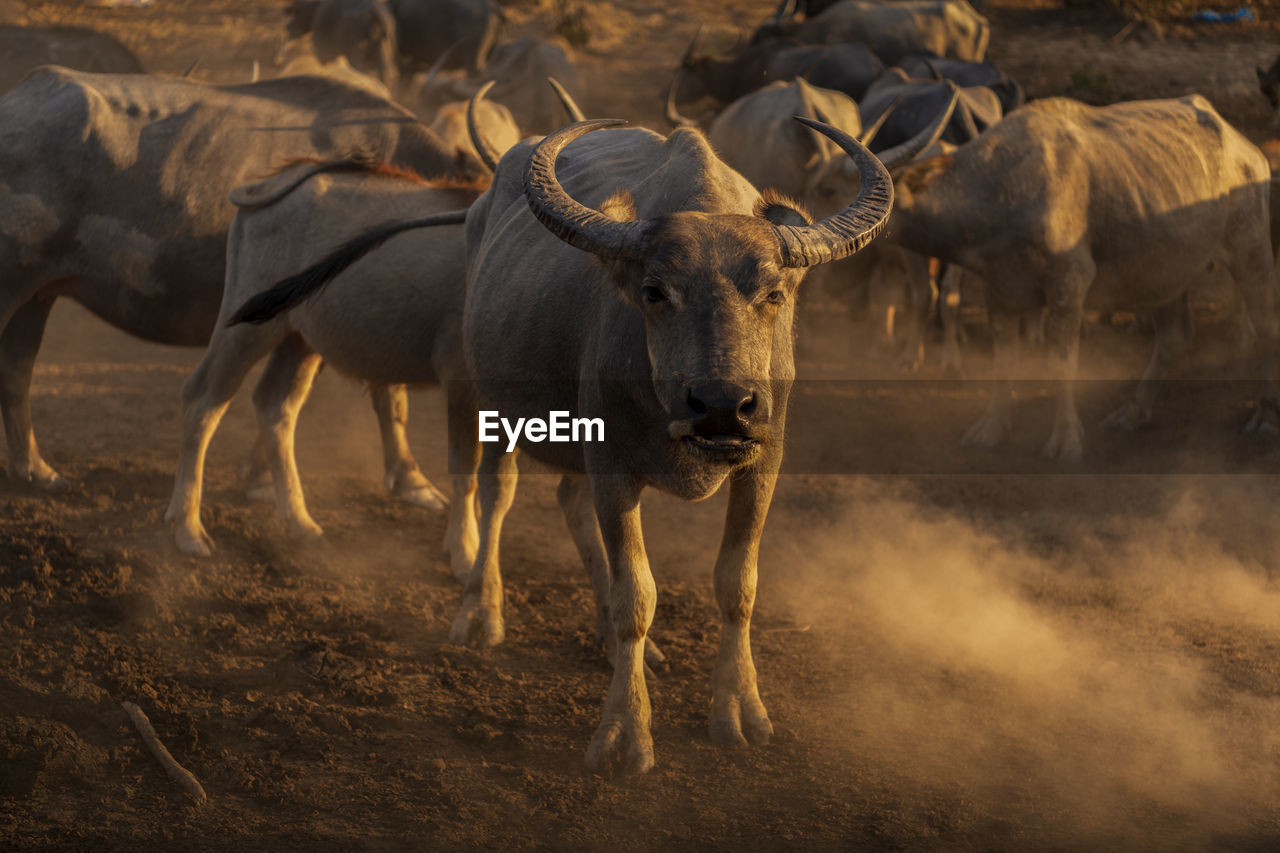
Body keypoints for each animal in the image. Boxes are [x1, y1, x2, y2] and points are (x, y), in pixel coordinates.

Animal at [162, 155, 478, 558]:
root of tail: (277, 180)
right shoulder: (461, 377)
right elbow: (467, 470)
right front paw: (467, 553)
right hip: (247, 328)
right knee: (203, 400)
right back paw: (189, 528)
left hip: (300, 341)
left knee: (275, 404)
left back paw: (299, 521)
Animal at [225, 112, 896, 768]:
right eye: (655, 291)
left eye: (773, 293)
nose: (722, 407)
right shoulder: (614, 468)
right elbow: (636, 596)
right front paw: (625, 734)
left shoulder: (763, 462)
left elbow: (738, 584)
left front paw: (739, 708)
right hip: (485, 397)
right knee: (493, 494)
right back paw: (481, 611)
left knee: (569, 505)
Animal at [885, 94, 1274, 458]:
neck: (998, 188)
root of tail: (1246, 149)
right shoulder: (1001, 293)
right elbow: (1004, 361)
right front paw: (991, 428)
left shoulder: (1068, 286)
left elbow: (1062, 364)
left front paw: (1065, 438)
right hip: (1166, 271)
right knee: (1174, 337)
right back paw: (1132, 413)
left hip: (1251, 251)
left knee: (1267, 328)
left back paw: (1266, 416)